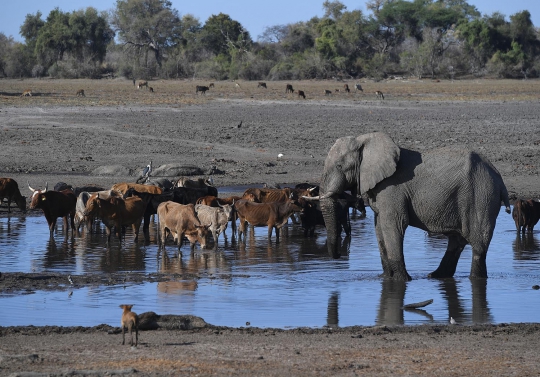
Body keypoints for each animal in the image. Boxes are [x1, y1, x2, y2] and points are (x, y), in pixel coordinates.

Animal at [320, 131, 510, 280]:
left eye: (339, 166)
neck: (365, 141)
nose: (339, 256)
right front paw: (385, 278)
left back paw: (475, 278)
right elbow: (379, 228)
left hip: (481, 195)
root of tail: (499, 177)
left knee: (478, 245)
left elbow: (393, 225)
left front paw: (401, 280)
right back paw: (435, 276)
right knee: (457, 241)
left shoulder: (392, 189)